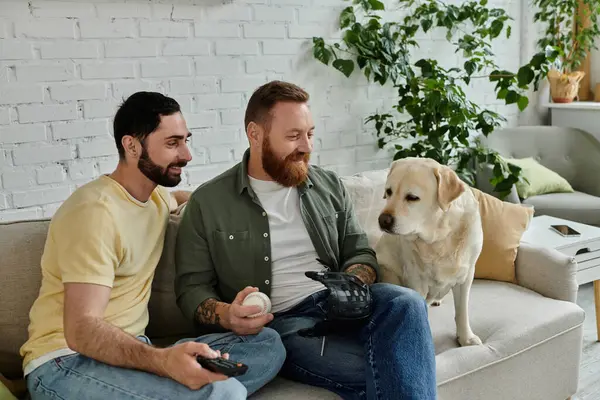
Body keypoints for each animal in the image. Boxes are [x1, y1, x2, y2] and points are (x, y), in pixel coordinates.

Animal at [376, 158, 482, 346]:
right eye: (388, 192)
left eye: (412, 197)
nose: (383, 220)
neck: (440, 236)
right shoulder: (416, 280)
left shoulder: (467, 275)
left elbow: (462, 311)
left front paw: (466, 338)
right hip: (388, 271)